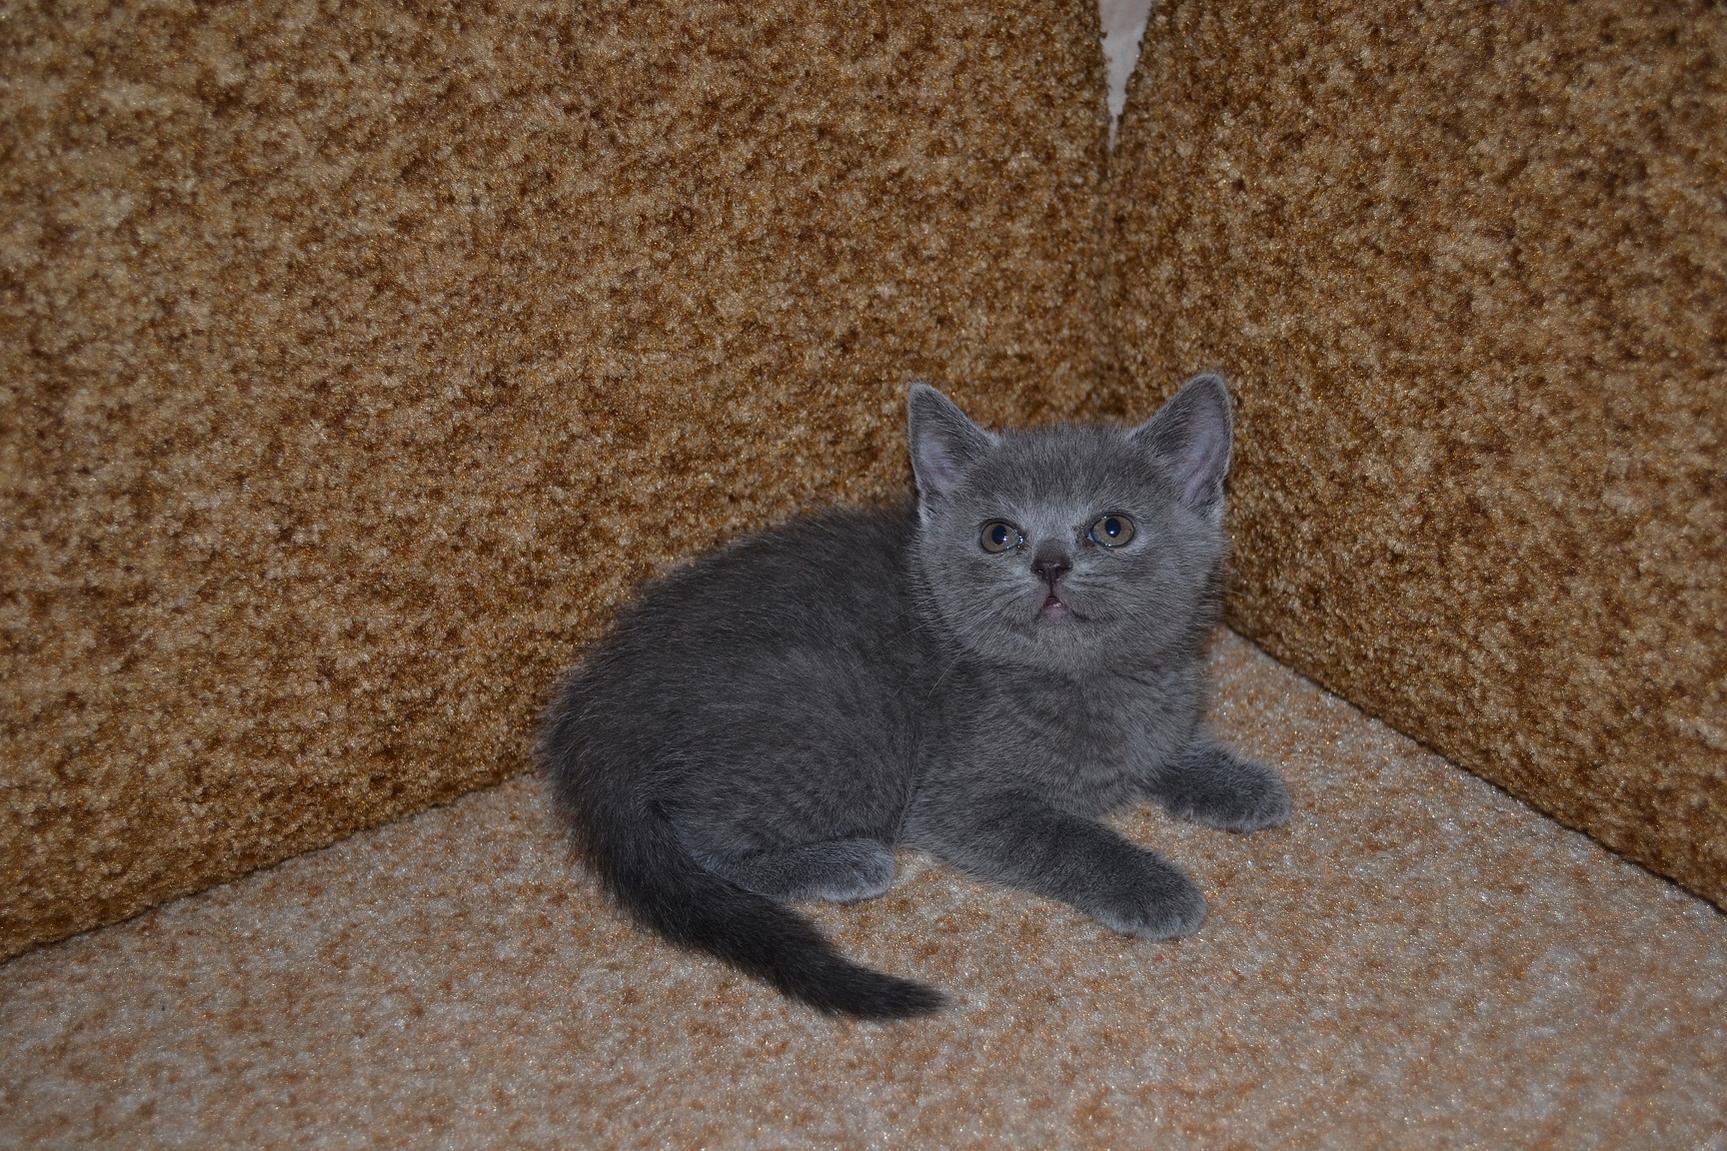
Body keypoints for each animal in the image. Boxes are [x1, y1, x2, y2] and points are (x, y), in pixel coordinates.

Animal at [540, 374, 1291, 1020]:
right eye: (999, 534)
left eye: (1112, 528)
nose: (1049, 564)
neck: (1087, 681)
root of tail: (599, 708)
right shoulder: (960, 799)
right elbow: (1068, 836)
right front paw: (1152, 885)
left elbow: (1166, 747)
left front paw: (1235, 782)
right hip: (847, 723)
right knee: (701, 838)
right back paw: (843, 860)